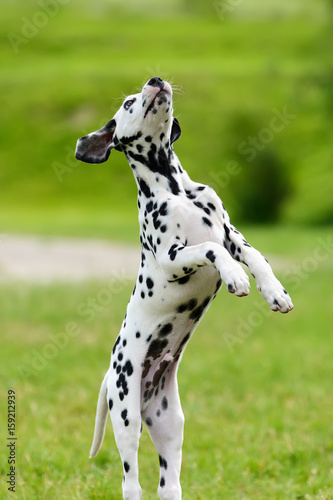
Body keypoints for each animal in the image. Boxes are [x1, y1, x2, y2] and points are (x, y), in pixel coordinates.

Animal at [75, 76, 294, 498]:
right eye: (128, 102)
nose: (156, 80)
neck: (176, 189)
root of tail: (112, 375)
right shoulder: (173, 257)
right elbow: (209, 250)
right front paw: (235, 278)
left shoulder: (231, 235)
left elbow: (257, 256)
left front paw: (275, 292)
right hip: (126, 419)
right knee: (131, 482)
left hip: (170, 427)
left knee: (169, 485)